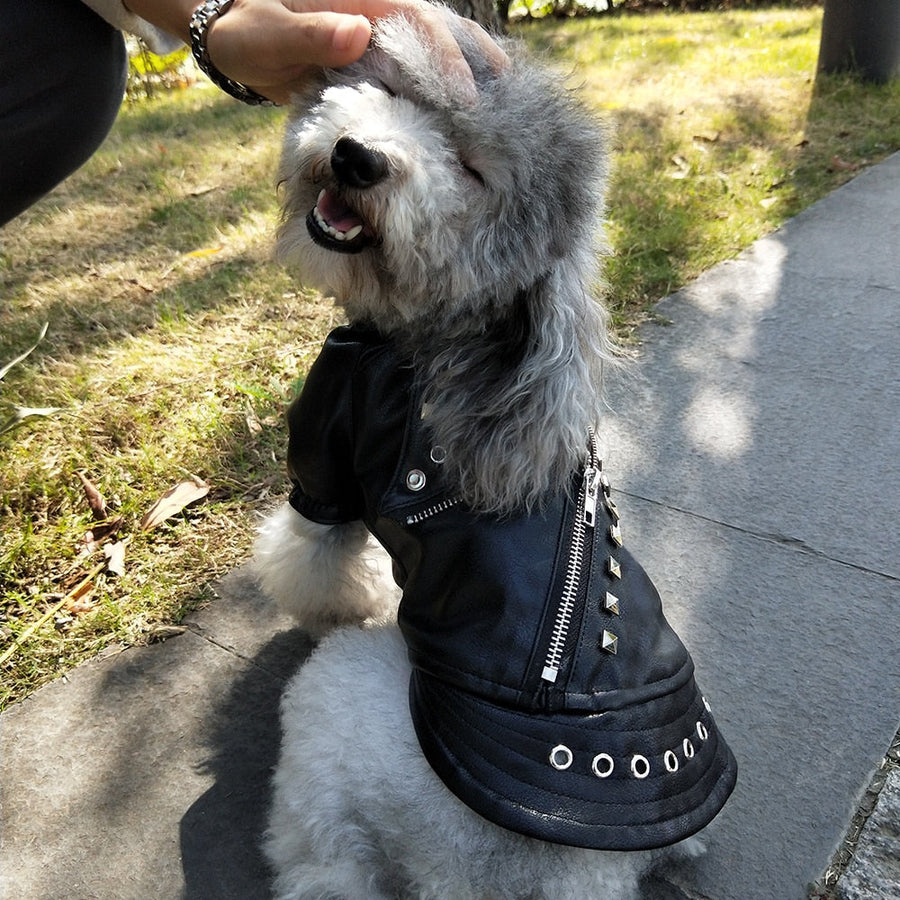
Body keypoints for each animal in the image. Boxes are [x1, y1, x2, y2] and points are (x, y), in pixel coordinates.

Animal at [251, 8, 732, 900]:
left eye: (473, 173)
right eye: (398, 90)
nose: (358, 156)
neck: (432, 333)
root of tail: (571, 876)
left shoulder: (327, 457)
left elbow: (314, 561)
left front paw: (320, 603)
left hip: (335, 708)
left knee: (324, 857)